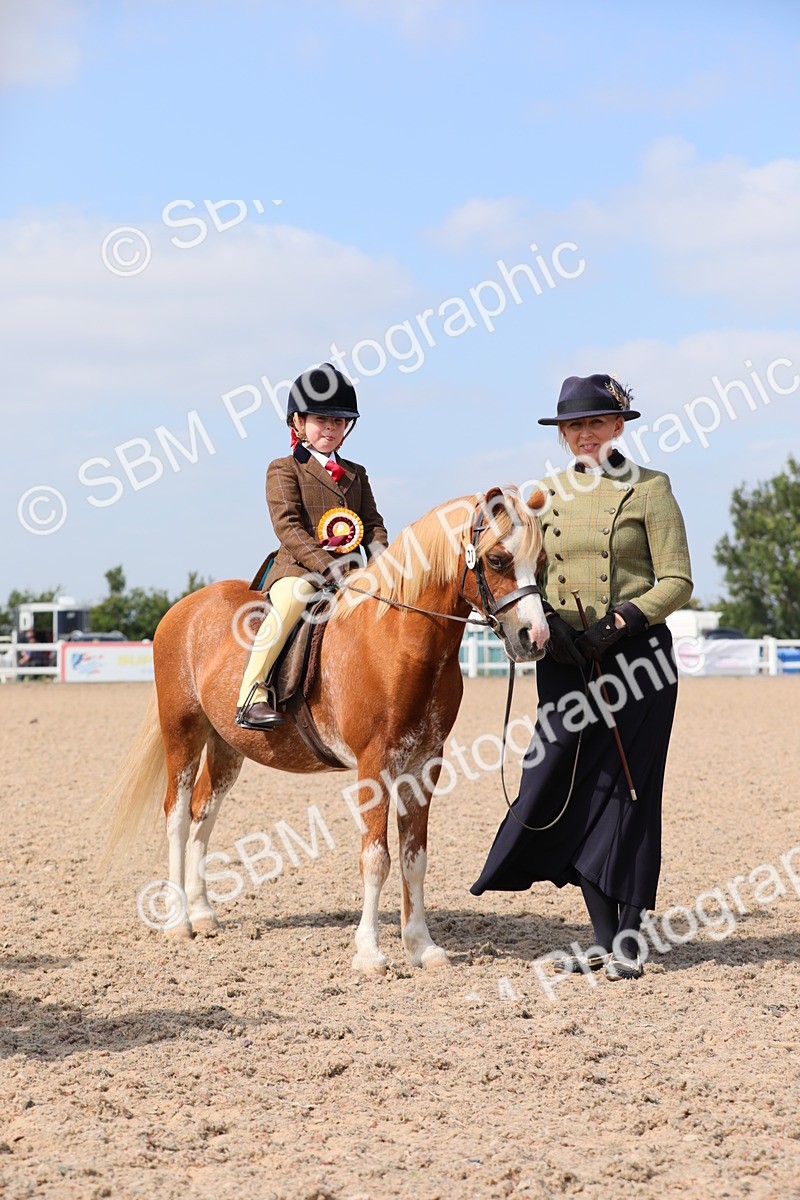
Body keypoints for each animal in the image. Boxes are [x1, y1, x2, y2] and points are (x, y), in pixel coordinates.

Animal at [105, 485, 549, 975]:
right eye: (497, 560)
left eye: (542, 563)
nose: (535, 638)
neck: (398, 640)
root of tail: (183, 610)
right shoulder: (375, 764)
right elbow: (376, 858)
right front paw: (370, 953)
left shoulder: (425, 764)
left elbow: (414, 858)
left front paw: (422, 946)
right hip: (182, 732)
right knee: (178, 818)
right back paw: (178, 922)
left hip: (227, 746)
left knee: (204, 813)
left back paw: (203, 915)